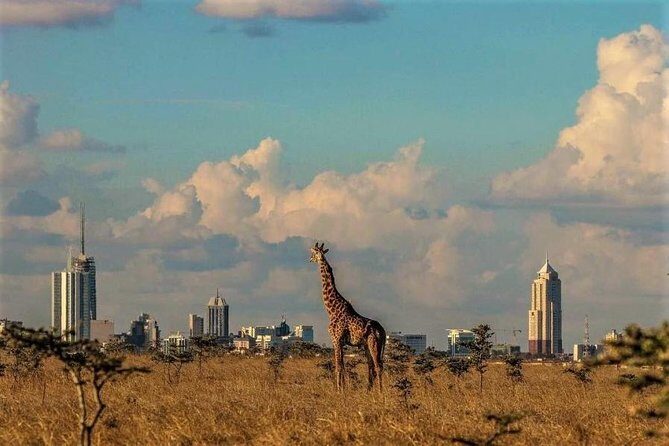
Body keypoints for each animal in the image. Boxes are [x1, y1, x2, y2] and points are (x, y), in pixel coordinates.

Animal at [309, 242, 386, 391]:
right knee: (371, 366)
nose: (310, 259)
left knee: (378, 366)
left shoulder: (336, 339)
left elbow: (338, 367)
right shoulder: (340, 342)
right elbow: (343, 367)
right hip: (367, 345)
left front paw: (339, 391)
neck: (332, 310)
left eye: (314, 252)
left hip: (374, 343)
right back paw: (368, 390)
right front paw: (343, 389)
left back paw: (380, 392)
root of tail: (383, 331)